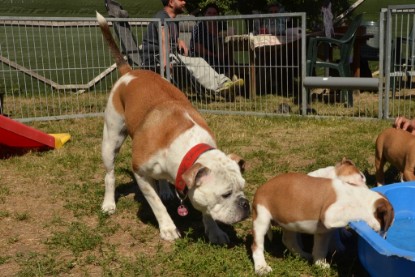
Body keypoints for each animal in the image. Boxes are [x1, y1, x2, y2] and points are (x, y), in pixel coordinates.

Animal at [96, 12, 250, 243]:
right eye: (226, 194)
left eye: (243, 188)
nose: (245, 203)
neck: (186, 146)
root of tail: (129, 72)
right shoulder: (140, 173)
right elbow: (156, 204)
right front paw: (168, 228)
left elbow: (206, 210)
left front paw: (214, 231)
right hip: (110, 140)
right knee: (109, 175)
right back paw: (109, 203)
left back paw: (166, 190)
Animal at [252, 172, 394, 274]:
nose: (385, 238)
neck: (358, 196)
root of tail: (260, 188)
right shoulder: (330, 214)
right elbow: (356, 212)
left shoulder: (323, 232)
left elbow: (320, 249)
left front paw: (319, 264)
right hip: (261, 219)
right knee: (256, 246)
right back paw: (261, 268)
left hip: (289, 223)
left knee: (289, 241)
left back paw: (303, 255)